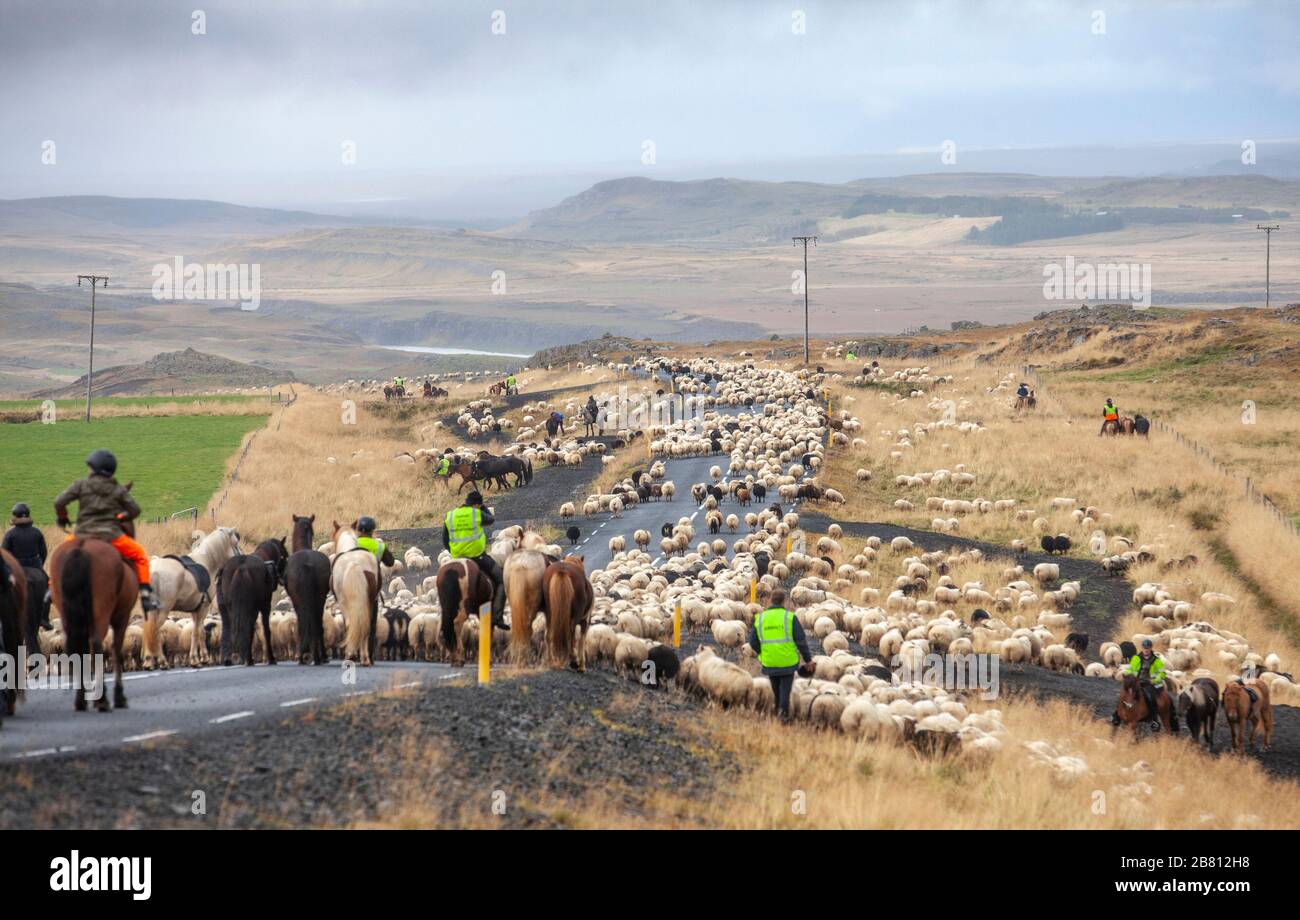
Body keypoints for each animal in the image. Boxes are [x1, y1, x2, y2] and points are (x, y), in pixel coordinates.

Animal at [48, 532, 135, 712]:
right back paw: (102, 700)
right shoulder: (122, 616)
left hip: (66, 612)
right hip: (101, 610)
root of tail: (80, 548)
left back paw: (81, 700)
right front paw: (119, 697)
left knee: (75, 646)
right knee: (96, 644)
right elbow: (116, 650)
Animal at [146, 524, 243, 670]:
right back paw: (162, 662)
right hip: (162, 610)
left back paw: (149, 661)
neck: (207, 563)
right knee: (155, 632)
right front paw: (197, 659)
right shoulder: (203, 608)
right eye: (236, 543)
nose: (242, 557)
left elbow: (198, 632)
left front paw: (201, 658)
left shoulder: (195, 610)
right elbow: (198, 632)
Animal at [218, 535, 287, 665]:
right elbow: (266, 630)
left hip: (232, 608)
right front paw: (271, 658)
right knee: (247, 627)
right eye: (285, 556)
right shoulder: (265, 606)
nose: (283, 577)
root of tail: (241, 568)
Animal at [286, 514, 332, 665]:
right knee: (317, 624)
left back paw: (307, 656)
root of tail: (307, 564)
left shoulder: (295, 601)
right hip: (319, 598)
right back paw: (318, 656)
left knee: (306, 624)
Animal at [330, 522, 379, 665]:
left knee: (352, 624)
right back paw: (364, 658)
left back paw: (352, 655)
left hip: (344, 602)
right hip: (368, 602)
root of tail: (354, 563)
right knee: (365, 626)